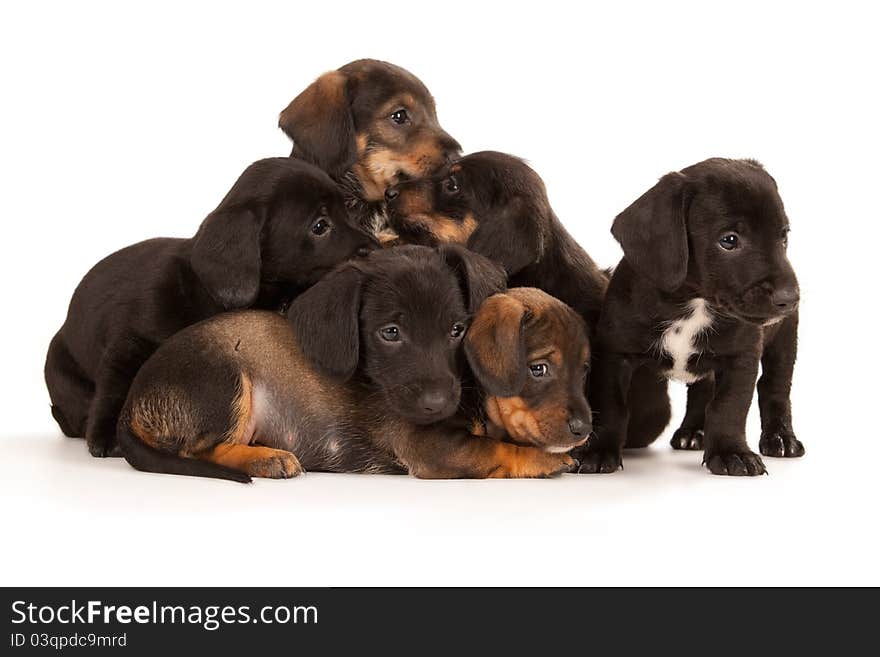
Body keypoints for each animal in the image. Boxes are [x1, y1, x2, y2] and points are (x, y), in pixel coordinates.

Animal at [45, 158, 374, 456]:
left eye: (349, 211)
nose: (376, 247)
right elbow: (114, 388)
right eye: (320, 226)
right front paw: (106, 436)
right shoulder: (127, 345)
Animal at [580, 159, 800, 476]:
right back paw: (693, 432)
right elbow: (611, 406)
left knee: (775, 388)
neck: (692, 303)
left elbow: (728, 407)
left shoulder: (741, 358)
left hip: (784, 340)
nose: (790, 297)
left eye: (783, 236)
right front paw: (598, 451)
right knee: (702, 391)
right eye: (729, 240)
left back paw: (781, 438)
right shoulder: (614, 353)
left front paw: (731, 452)